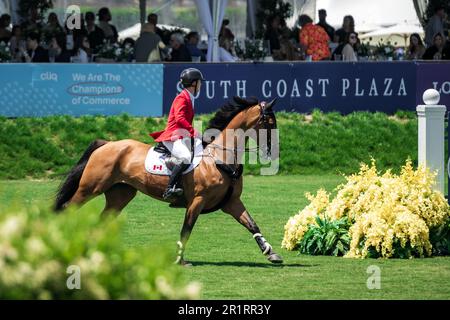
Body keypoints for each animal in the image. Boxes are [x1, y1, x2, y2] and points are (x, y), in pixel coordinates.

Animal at [54, 97, 284, 264]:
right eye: (269, 122)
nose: (273, 152)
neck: (220, 157)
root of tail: (107, 144)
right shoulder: (197, 201)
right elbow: (186, 229)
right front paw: (179, 259)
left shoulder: (232, 202)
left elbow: (252, 224)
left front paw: (270, 252)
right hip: (90, 187)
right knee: (68, 207)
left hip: (120, 194)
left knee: (103, 219)